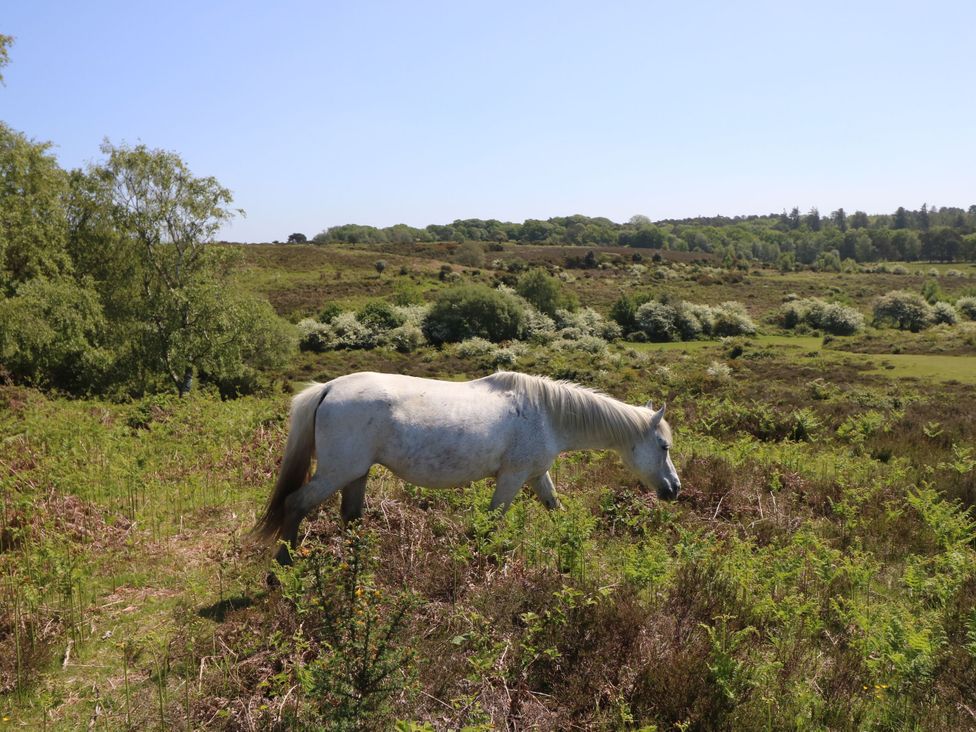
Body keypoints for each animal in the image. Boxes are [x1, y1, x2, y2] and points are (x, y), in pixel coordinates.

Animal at [254, 371, 680, 564]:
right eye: (664, 446)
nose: (674, 489)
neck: (547, 415)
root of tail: (328, 388)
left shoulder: (536, 475)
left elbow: (555, 508)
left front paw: (574, 547)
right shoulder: (511, 479)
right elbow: (491, 523)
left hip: (356, 474)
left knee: (351, 516)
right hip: (335, 473)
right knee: (295, 504)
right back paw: (283, 565)